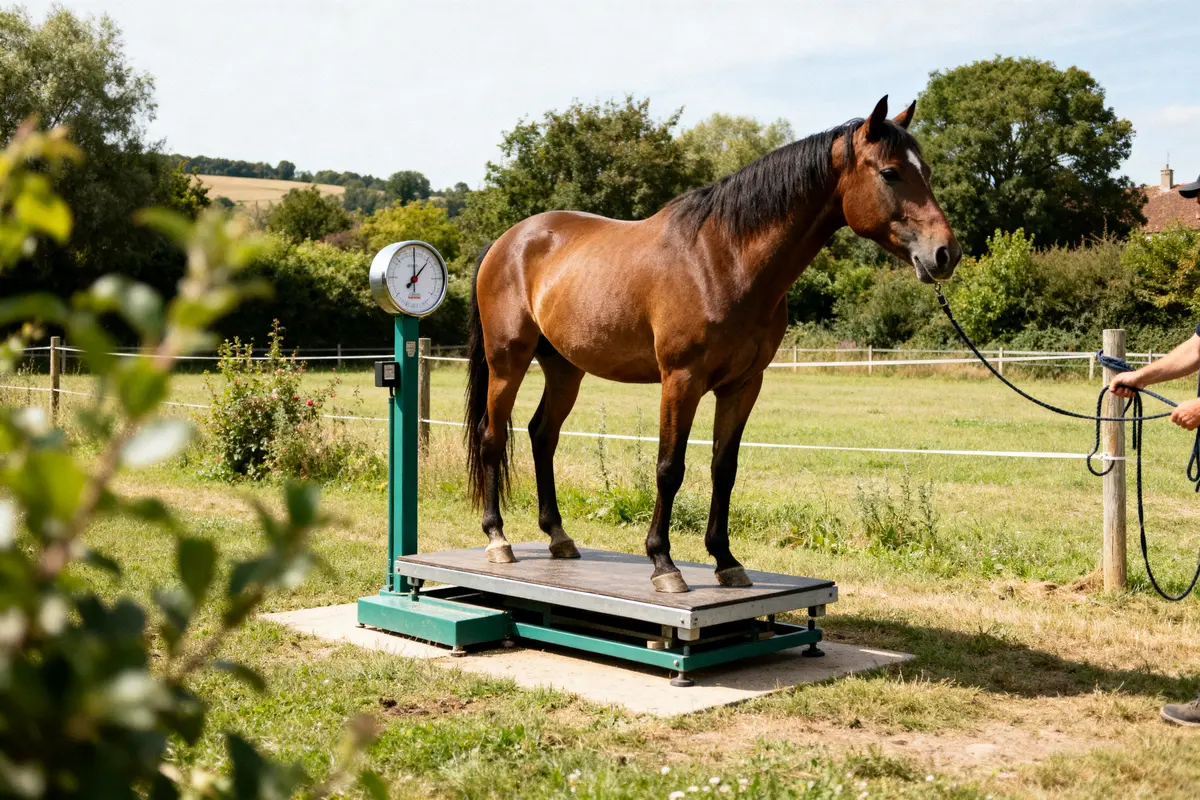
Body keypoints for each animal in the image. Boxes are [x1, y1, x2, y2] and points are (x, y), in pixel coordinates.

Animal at [463, 96, 961, 593]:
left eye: (927, 171)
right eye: (891, 173)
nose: (946, 254)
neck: (724, 260)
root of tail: (507, 242)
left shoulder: (742, 385)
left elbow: (725, 469)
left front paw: (725, 559)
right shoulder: (681, 381)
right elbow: (669, 468)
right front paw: (663, 563)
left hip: (565, 368)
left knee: (542, 434)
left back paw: (558, 536)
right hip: (507, 362)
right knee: (492, 436)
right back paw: (498, 538)